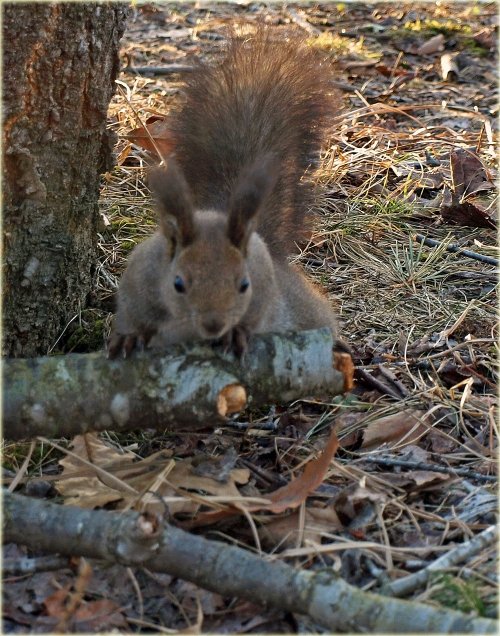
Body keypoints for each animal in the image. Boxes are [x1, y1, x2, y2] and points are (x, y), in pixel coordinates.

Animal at [109, 31, 340, 358]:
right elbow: (131, 313)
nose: (214, 325)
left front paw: (237, 333)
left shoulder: (262, 289)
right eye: (178, 283)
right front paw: (128, 337)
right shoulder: (139, 278)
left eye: (244, 284)